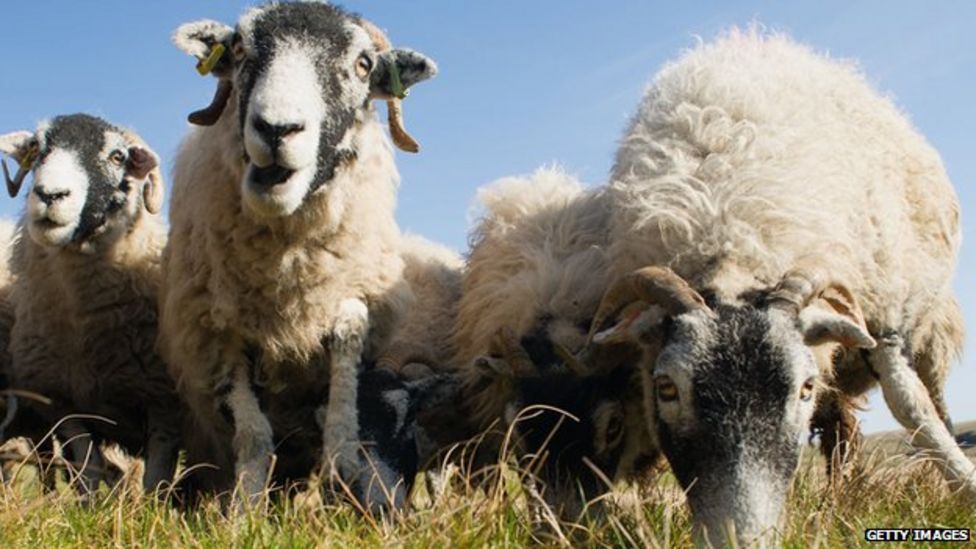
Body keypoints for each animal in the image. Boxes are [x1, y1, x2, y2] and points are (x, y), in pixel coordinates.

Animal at [0, 114, 181, 495]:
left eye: (117, 156)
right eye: (37, 148)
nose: (50, 195)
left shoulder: (164, 404)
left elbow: (156, 479)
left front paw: (151, 508)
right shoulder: (64, 405)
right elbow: (88, 471)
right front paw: (89, 506)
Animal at [163, 2, 438, 510]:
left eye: (363, 65)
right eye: (238, 49)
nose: (277, 129)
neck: (288, 271)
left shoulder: (357, 289)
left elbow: (347, 352)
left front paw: (341, 464)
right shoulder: (218, 333)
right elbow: (253, 435)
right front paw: (243, 512)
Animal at [579, 29, 972, 545]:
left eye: (803, 388)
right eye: (665, 388)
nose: (740, 540)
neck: (732, 241)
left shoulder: (884, 322)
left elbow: (912, 407)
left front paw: (965, 485)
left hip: (927, 330)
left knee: (933, 406)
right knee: (841, 431)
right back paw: (837, 500)